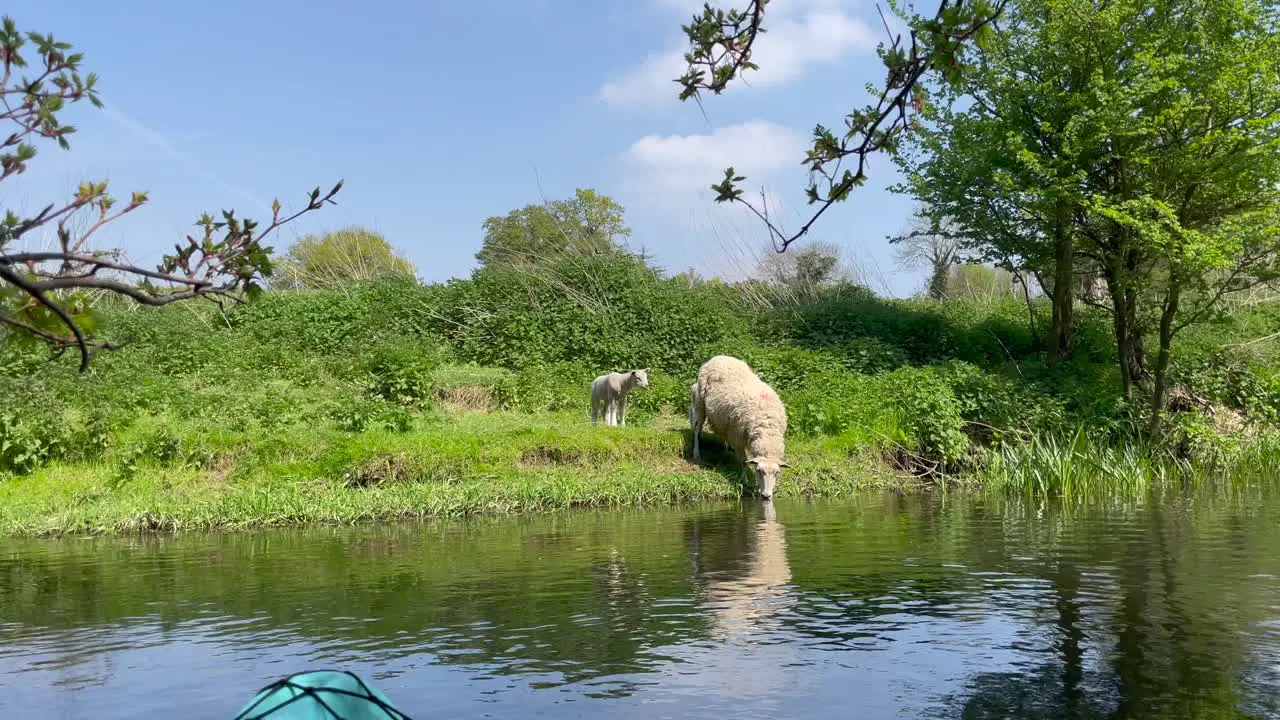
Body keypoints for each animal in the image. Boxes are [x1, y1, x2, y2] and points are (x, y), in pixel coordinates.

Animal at [691, 353, 788, 499]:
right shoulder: (738, 437)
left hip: (723, 418)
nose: (766, 495)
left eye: (777, 473)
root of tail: (720, 356)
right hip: (700, 403)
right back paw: (697, 454)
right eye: (759, 471)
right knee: (697, 429)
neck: (766, 427)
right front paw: (745, 481)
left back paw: (725, 449)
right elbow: (743, 461)